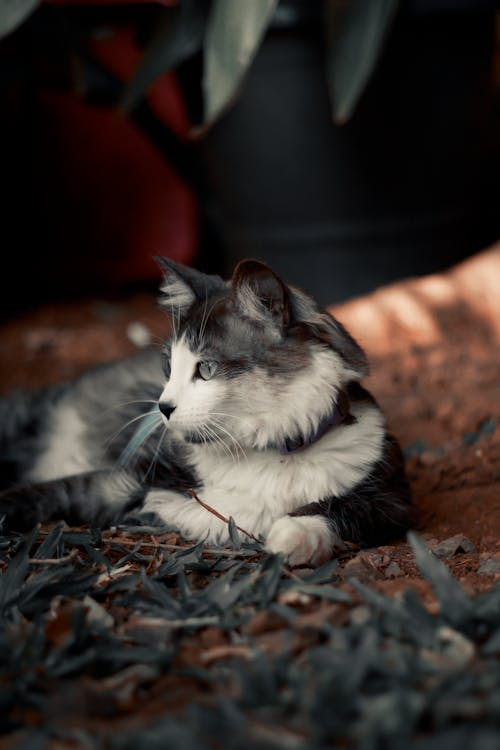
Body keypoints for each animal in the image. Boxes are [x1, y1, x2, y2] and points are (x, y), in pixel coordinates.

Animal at [0, 258, 410, 564]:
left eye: (207, 369)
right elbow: (47, 493)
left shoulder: (391, 499)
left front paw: (295, 534)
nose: (162, 407)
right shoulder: (126, 479)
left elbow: (340, 509)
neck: (267, 454)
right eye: (168, 366)